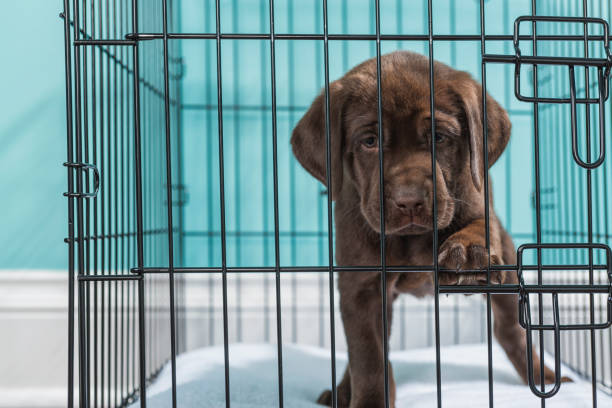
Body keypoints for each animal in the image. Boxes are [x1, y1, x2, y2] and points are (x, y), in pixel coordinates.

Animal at [294, 51, 560, 408]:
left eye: (438, 137)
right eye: (369, 141)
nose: (409, 201)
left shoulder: (479, 206)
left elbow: (477, 225)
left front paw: (467, 251)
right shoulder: (361, 287)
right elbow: (368, 357)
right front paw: (368, 400)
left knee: (511, 330)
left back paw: (546, 378)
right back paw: (341, 391)